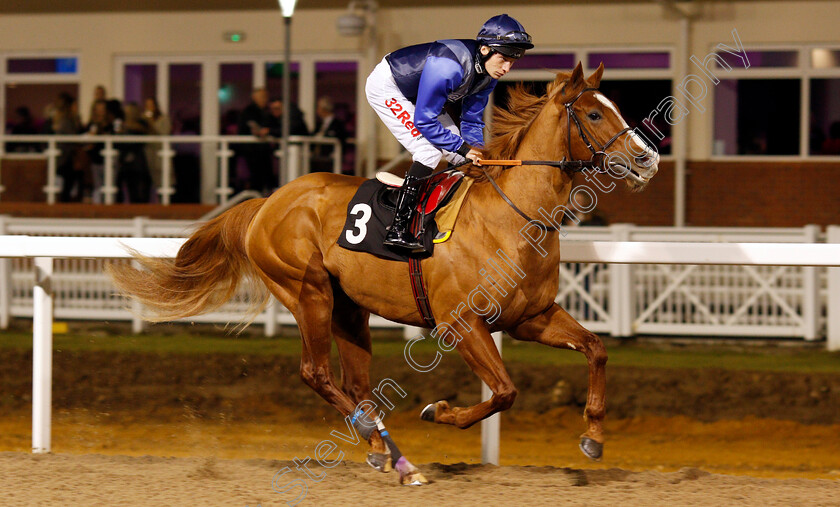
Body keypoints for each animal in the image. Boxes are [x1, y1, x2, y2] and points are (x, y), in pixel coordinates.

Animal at [108, 62, 660, 484]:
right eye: (593, 112)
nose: (647, 158)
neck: (513, 217)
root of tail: (269, 201)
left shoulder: (531, 317)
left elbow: (596, 348)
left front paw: (593, 436)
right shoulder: (462, 323)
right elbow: (504, 391)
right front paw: (439, 411)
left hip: (350, 310)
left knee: (355, 383)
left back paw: (380, 449)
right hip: (308, 292)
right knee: (316, 373)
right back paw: (389, 450)